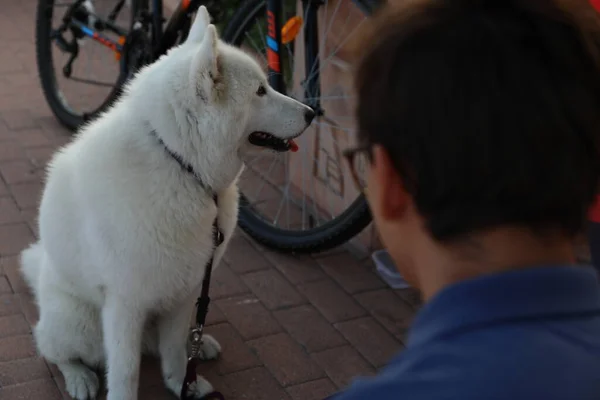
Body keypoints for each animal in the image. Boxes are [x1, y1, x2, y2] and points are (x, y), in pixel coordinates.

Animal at [19, 7, 314, 400]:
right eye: (261, 91)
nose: (312, 112)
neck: (180, 163)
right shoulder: (125, 304)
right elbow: (125, 370)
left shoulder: (186, 289)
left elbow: (173, 349)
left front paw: (182, 383)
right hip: (79, 324)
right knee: (54, 351)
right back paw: (79, 378)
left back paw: (199, 346)